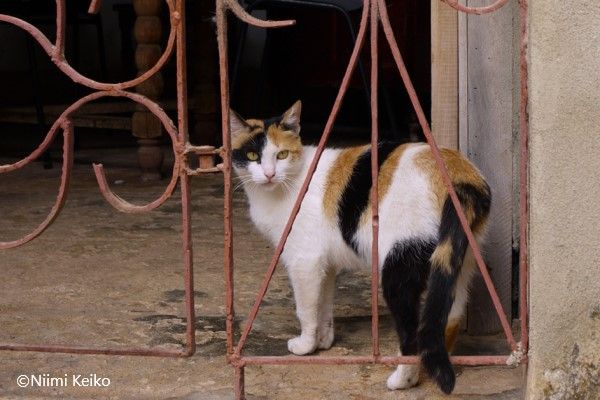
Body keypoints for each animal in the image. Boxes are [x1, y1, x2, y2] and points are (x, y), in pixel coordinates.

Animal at [231, 100, 492, 394]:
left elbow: (306, 308)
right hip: (459, 262)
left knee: (412, 331)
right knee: (448, 319)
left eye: (282, 155)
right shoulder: (325, 265)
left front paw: (306, 345)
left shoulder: (304, 261)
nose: (269, 174)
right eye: (252, 155)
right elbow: (324, 305)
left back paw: (402, 380)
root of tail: (460, 173)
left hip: (400, 266)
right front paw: (324, 341)